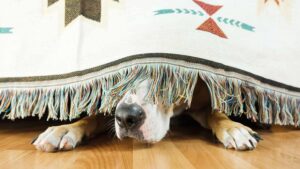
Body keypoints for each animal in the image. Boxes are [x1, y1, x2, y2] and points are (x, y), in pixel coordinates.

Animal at [32, 78, 262, 152]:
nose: (126, 118)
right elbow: (92, 117)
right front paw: (64, 130)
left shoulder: (201, 103)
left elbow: (217, 114)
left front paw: (234, 129)